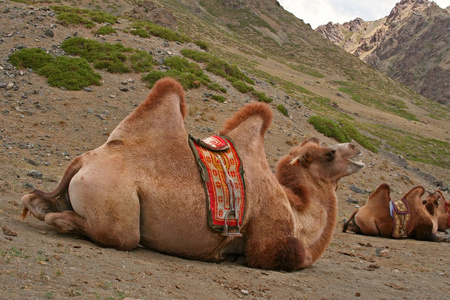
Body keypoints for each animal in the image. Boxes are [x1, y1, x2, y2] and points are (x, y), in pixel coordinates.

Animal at [22, 77, 366, 272]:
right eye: (329, 153)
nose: (355, 145)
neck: (297, 213)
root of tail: (83, 160)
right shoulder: (269, 243)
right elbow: (292, 256)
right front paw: (222, 256)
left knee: (35, 200)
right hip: (116, 209)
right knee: (94, 228)